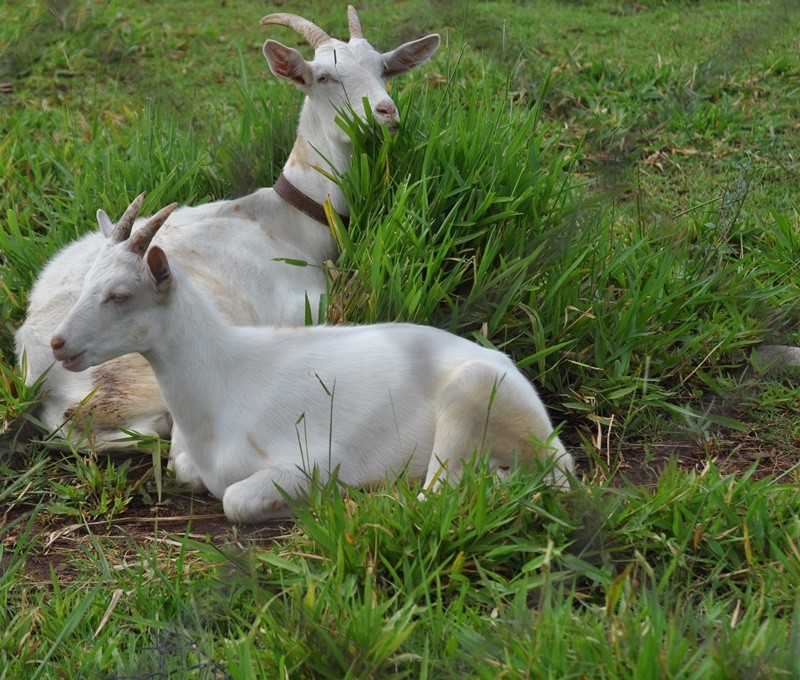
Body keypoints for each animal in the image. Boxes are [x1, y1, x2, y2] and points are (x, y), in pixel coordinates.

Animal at [14, 6, 438, 452]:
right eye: (323, 77)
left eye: (384, 69)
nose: (386, 111)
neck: (290, 219)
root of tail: (35, 366)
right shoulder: (305, 305)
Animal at [51, 199, 576, 524]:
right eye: (86, 284)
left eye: (120, 295)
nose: (58, 343)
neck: (224, 381)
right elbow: (187, 472)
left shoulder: (316, 460)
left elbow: (235, 499)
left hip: (471, 395)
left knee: (438, 494)